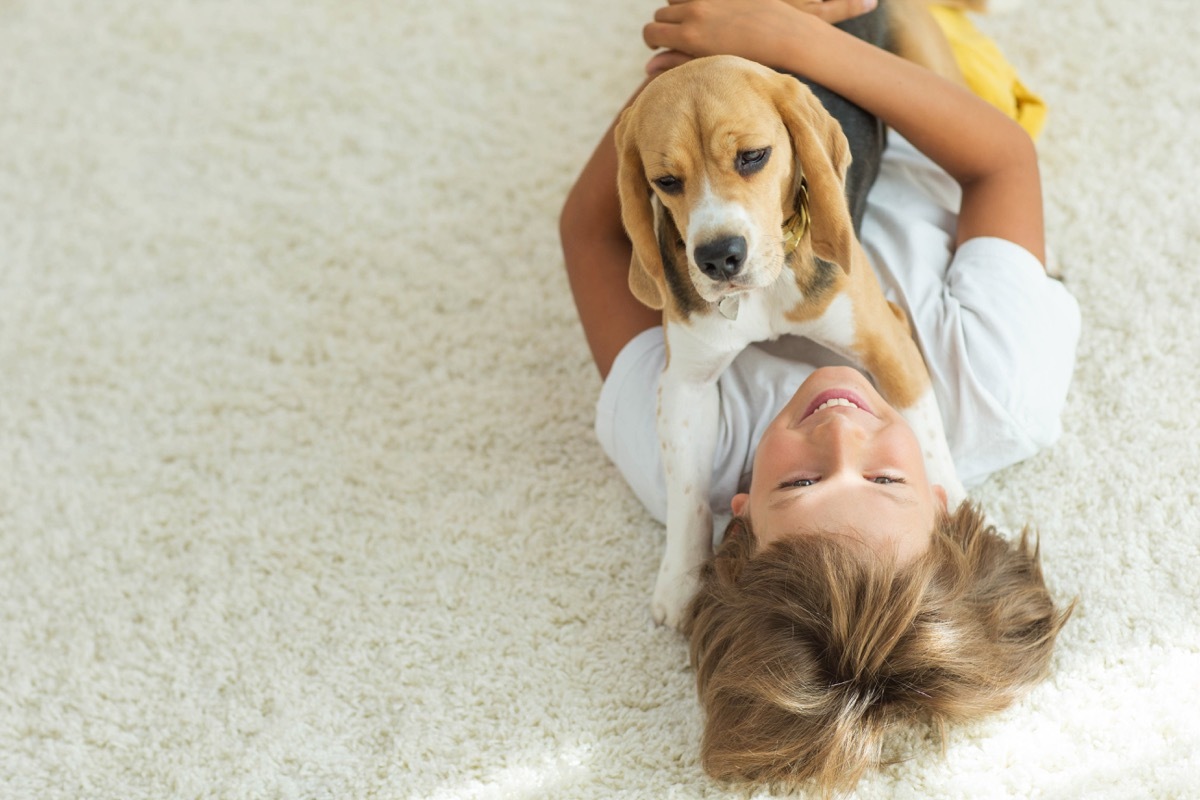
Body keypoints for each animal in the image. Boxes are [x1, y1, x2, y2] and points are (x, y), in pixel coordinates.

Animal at [619, 40, 974, 628]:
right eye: (665, 182)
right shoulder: (686, 383)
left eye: (753, 157)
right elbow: (686, 489)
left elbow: (927, 437)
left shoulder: (888, 341)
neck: (762, 294)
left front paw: (957, 511)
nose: (718, 257)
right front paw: (683, 576)